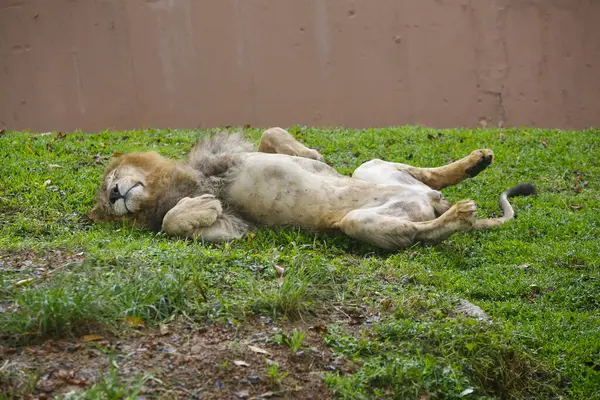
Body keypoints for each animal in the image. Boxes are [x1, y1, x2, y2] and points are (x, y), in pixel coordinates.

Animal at [88, 128, 536, 250]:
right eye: (107, 204)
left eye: (112, 179)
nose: (114, 195)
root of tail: (431, 202)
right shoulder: (237, 227)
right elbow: (169, 222)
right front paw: (198, 208)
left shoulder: (225, 153)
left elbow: (273, 134)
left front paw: (312, 154)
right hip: (358, 221)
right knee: (425, 232)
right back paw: (460, 213)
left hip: (371, 169)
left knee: (433, 178)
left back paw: (478, 160)